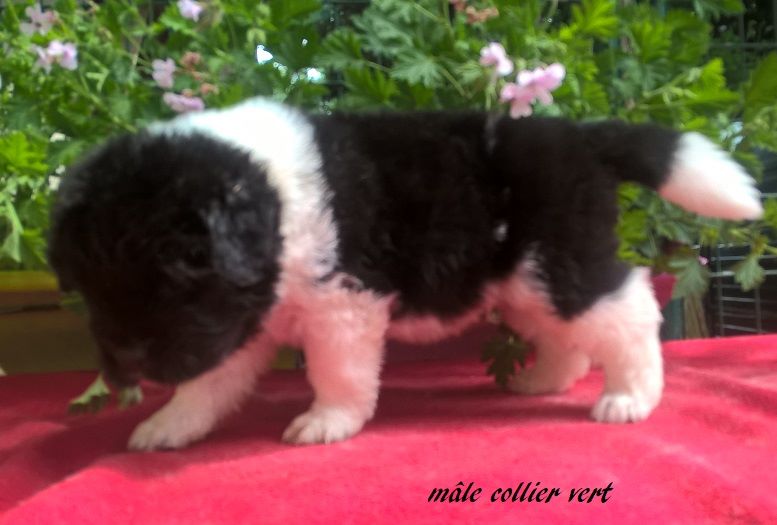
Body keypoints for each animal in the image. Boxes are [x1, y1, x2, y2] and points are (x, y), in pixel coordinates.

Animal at [48, 98, 762, 450]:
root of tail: (580, 137)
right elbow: (208, 381)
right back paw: (544, 380)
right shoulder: (240, 317)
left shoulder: (340, 304)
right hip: (519, 280)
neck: (269, 198)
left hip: (558, 259)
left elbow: (336, 372)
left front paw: (328, 423)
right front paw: (170, 426)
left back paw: (631, 398)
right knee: (567, 334)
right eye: (89, 292)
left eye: (176, 277)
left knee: (627, 309)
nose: (127, 363)